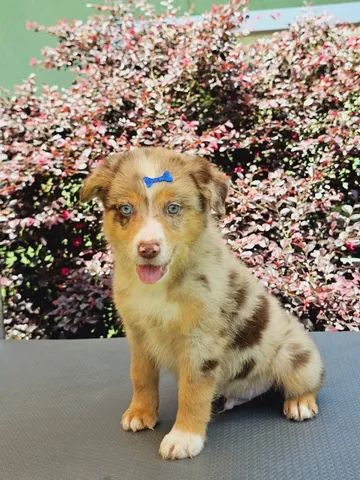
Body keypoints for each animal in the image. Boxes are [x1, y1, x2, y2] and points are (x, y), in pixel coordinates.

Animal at [81, 147, 324, 462]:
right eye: (125, 209)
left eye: (173, 208)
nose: (148, 249)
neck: (161, 285)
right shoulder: (138, 333)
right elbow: (141, 376)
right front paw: (141, 413)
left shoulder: (201, 340)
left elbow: (193, 391)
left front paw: (184, 437)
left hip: (293, 355)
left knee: (311, 379)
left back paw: (300, 403)